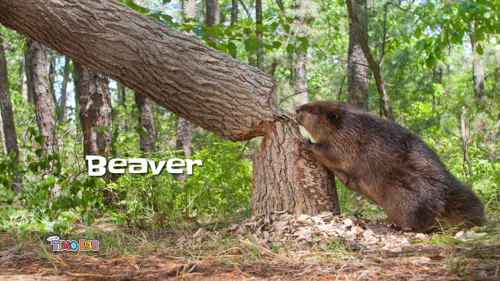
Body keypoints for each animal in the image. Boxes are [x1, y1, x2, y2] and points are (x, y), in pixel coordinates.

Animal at [296, 100, 484, 232]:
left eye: (313, 111)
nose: (297, 109)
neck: (348, 124)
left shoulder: (346, 142)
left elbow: (330, 153)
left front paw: (305, 142)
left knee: (413, 228)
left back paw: (382, 227)